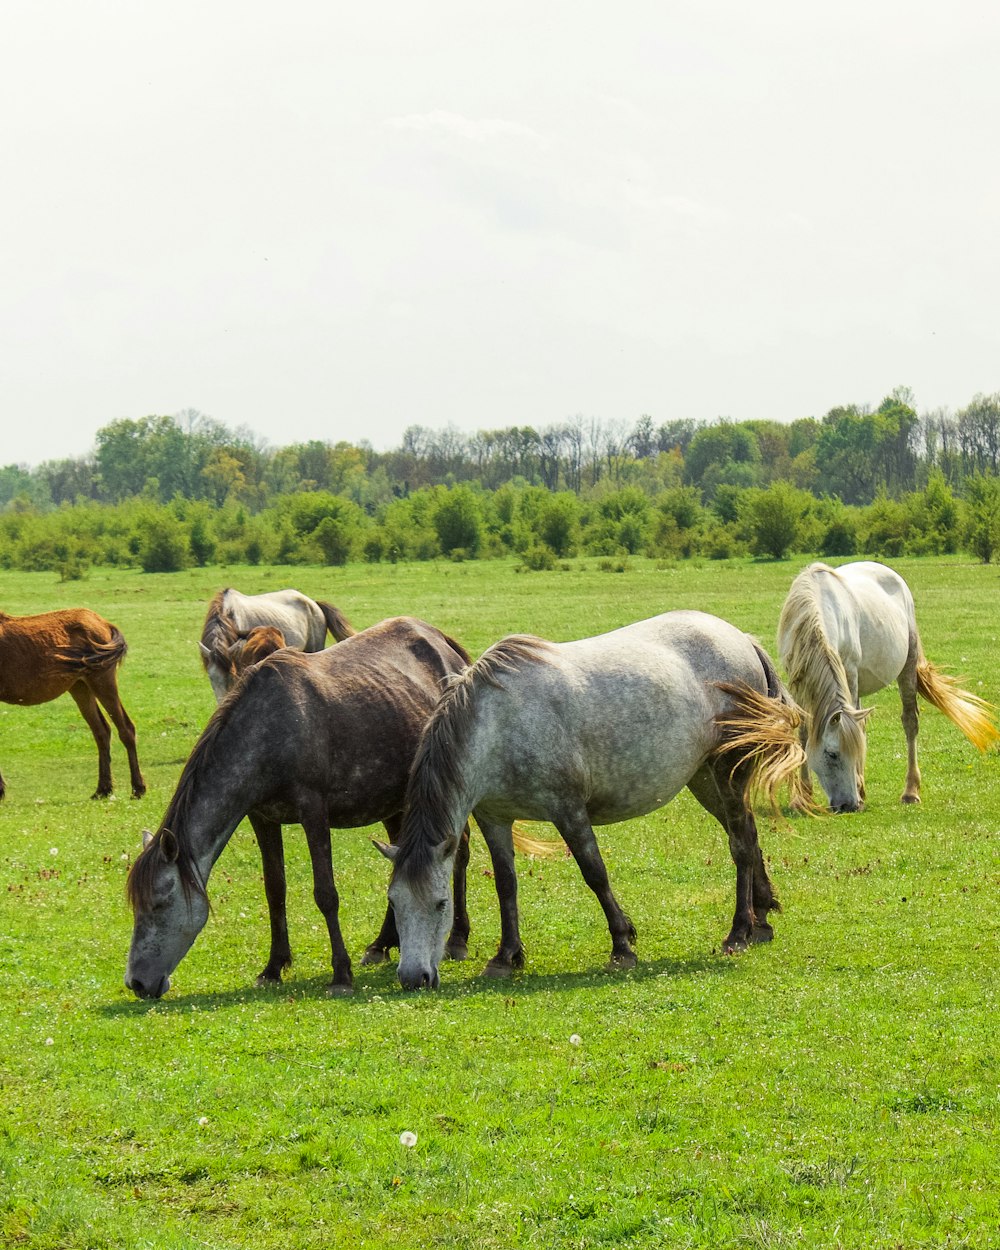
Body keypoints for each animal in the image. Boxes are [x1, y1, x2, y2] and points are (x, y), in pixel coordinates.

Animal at [0, 607, 145, 800]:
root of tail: (104, 623)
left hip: (102, 680)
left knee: (126, 728)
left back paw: (138, 788)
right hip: (80, 687)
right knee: (102, 731)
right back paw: (103, 789)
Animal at [123, 620, 472, 1000]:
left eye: (159, 904)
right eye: (135, 907)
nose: (136, 982)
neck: (268, 730)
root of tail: (442, 641)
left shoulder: (313, 812)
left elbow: (326, 894)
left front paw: (340, 973)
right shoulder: (261, 818)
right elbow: (275, 891)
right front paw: (273, 966)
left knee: (460, 852)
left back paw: (457, 940)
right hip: (394, 802)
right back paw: (381, 944)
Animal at [380, 610, 810, 990]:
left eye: (440, 903)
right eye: (395, 903)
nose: (413, 978)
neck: (498, 725)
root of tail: (742, 640)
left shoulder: (568, 811)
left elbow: (595, 873)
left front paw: (622, 945)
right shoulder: (494, 819)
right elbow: (506, 885)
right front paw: (506, 957)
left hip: (727, 770)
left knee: (740, 844)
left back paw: (739, 931)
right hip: (704, 779)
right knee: (748, 835)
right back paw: (762, 920)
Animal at [775, 562, 995, 815]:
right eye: (832, 754)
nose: (848, 805)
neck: (815, 606)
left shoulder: (849, 673)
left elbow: (857, 730)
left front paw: (858, 789)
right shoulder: (798, 681)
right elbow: (803, 733)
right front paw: (802, 798)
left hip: (906, 666)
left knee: (909, 722)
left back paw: (910, 791)